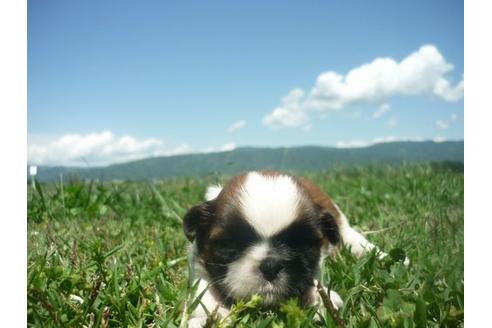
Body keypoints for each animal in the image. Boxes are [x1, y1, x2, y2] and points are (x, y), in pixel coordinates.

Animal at [181, 170, 404, 326]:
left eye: (302, 244)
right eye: (230, 245)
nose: (270, 266)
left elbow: (312, 278)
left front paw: (319, 299)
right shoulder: (199, 261)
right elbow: (205, 288)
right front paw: (209, 317)